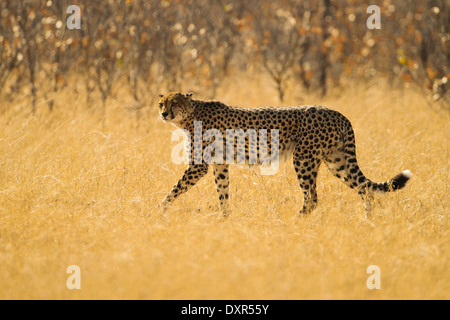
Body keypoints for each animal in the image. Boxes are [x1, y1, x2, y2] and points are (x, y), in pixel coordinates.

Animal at [157, 92, 412, 218]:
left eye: (174, 102)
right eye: (161, 103)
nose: (163, 113)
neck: (190, 114)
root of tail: (338, 113)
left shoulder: (199, 165)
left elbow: (175, 189)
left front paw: (158, 210)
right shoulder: (219, 164)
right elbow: (223, 192)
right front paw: (225, 218)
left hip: (304, 158)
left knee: (312, 197)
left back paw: (296, 220)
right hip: (337, 161)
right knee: (365, 189)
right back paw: (368, 219)